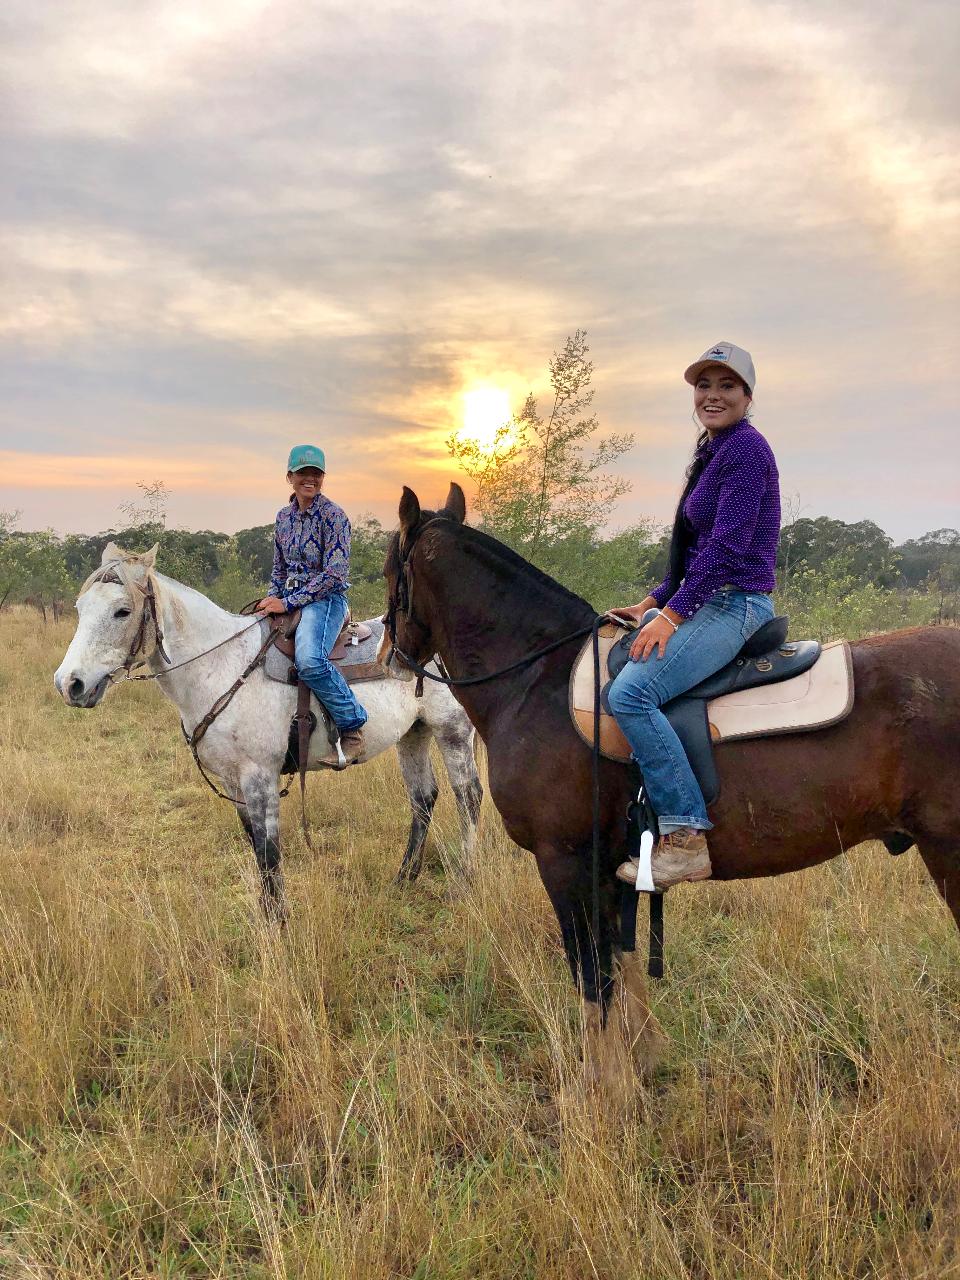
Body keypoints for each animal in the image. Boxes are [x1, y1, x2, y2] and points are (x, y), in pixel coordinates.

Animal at [54, 544, 483, 917]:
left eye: (122, 611)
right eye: (79, 607)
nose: (69, 683)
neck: (221, 665)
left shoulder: (260, 776)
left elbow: (270, 849)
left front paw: (278, 921)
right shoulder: (233, 781)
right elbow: (255, 845)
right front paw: (266, 912)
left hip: (453, 731)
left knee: (468, 797)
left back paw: (465, 880)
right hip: (413, 734)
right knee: (422, 799)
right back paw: (404, 878)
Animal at [381, 482, 960, 1096]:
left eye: (391, 568)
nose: (389, 659)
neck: (537, 681)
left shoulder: (563, 861)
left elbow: (592, 974)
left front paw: (601, 1087)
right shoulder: (611, 866)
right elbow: (621, 957)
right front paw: (640, 1061)